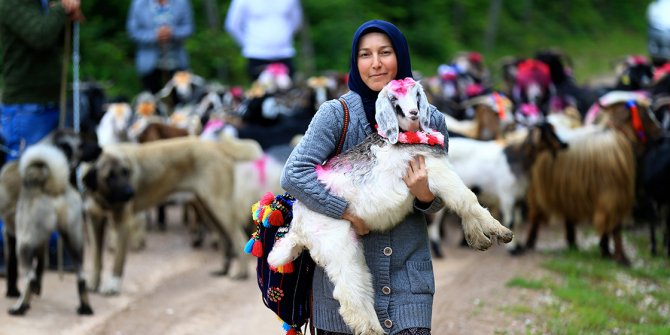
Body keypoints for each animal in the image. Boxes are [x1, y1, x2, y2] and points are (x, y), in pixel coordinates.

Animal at [82, 135, 264, 296]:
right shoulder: (94, 220)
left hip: (219, 206)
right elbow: (96, 258)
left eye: (126, 172)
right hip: (208, 209)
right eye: (109, 176)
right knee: (225, 238)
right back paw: (223, 270)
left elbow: (117, 261)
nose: (130, 193)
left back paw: (241, 273)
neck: (102, 195)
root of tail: (217, 146)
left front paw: (112, 286)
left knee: (238, 237)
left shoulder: (122, 222)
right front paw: (93, 284)